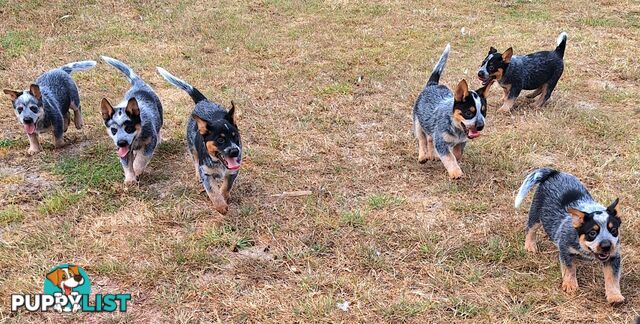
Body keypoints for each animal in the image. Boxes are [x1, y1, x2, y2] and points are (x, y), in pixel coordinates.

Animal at [100, 57, 164, 186]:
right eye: (113, 130)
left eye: (129, 128)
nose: (121, 142)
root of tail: (138, 83)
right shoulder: (122, 151)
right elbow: (126, 164)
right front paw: (130, 179)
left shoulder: (150, 142)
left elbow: (141, 158)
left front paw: (137, 170)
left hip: (160, 114)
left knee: (159, 128)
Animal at [158, 67, 242, 215]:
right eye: (220, 139)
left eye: (235, 136)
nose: (235, 151)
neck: (219, 163)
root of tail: (203, 101)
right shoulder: (206, 173)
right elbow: (212, 190)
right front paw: (220, 206)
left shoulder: (233, 172)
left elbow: (226, 187)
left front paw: (224, 197)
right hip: (192, 146)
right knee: (195, 160)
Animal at [412, 43, 498, 178]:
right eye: (468, 113)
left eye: (483, 112)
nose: (480, 126)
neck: (456, 127)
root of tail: (432, 84)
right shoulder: (441, 142)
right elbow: (449, 157)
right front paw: (455, 172)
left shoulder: (461, 141)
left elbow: (456, 154)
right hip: (417, 122)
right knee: (422, 140)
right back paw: (423, 156)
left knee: (430, 139)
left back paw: (433, 155)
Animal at [516, 168, 624, 306]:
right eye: (592, 233)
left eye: (613, 230)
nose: (606, 246)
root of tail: (555, 172)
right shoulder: (565, 248)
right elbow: (569, 267)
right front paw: (570, 284)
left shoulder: (613, 256)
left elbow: (612, 277)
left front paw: (615, 296)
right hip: (536, 211)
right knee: (530, 228)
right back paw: (530, 246)